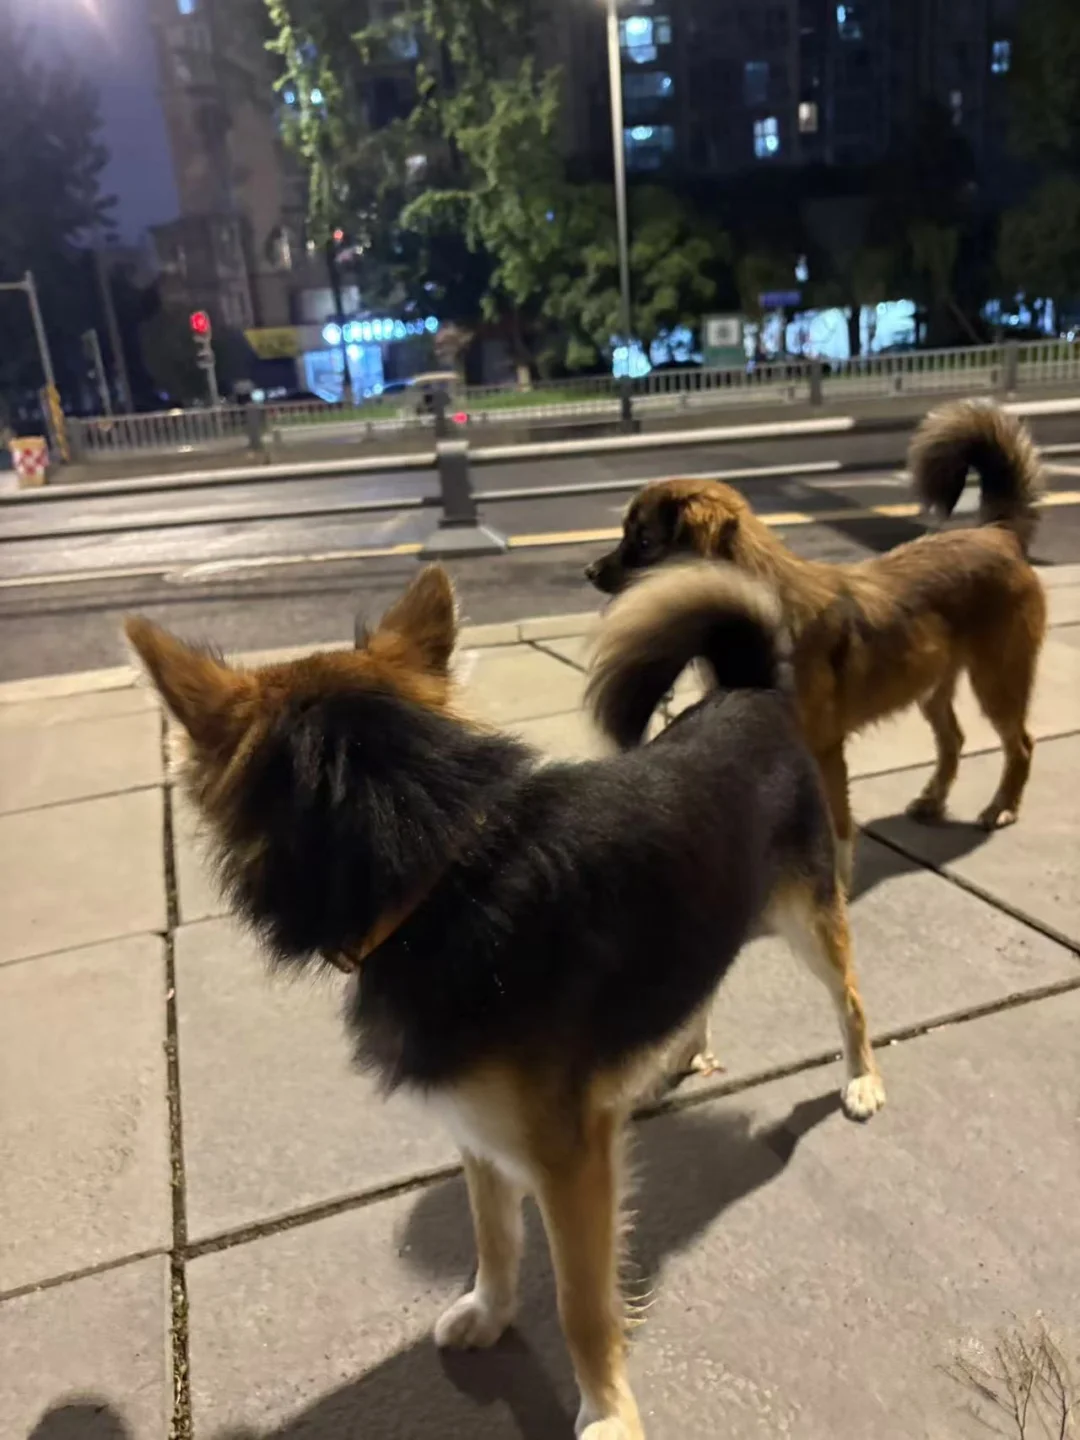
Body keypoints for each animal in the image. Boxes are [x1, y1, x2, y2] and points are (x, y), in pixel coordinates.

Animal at [125, 562, 884, 1440]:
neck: (439, 877)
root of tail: (747, 689)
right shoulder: (478, 1129)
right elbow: (493, 1235)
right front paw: (490, 1313)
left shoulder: (572, 1162)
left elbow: (582, 1304)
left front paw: (607, 1410)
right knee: (705, 981)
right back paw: (682, 1050)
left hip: (807, 915)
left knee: (850, 999)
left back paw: (862, 1079)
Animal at [586, 400, 1047, 886]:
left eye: (643, 540)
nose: (589, 572)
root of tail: (998, 532)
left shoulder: (824, 750)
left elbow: (837, 825)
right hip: (930, 683)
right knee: (953, 739)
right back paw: (933, 800)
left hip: (997, 678)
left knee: (1020, 744)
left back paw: (1002, 807)